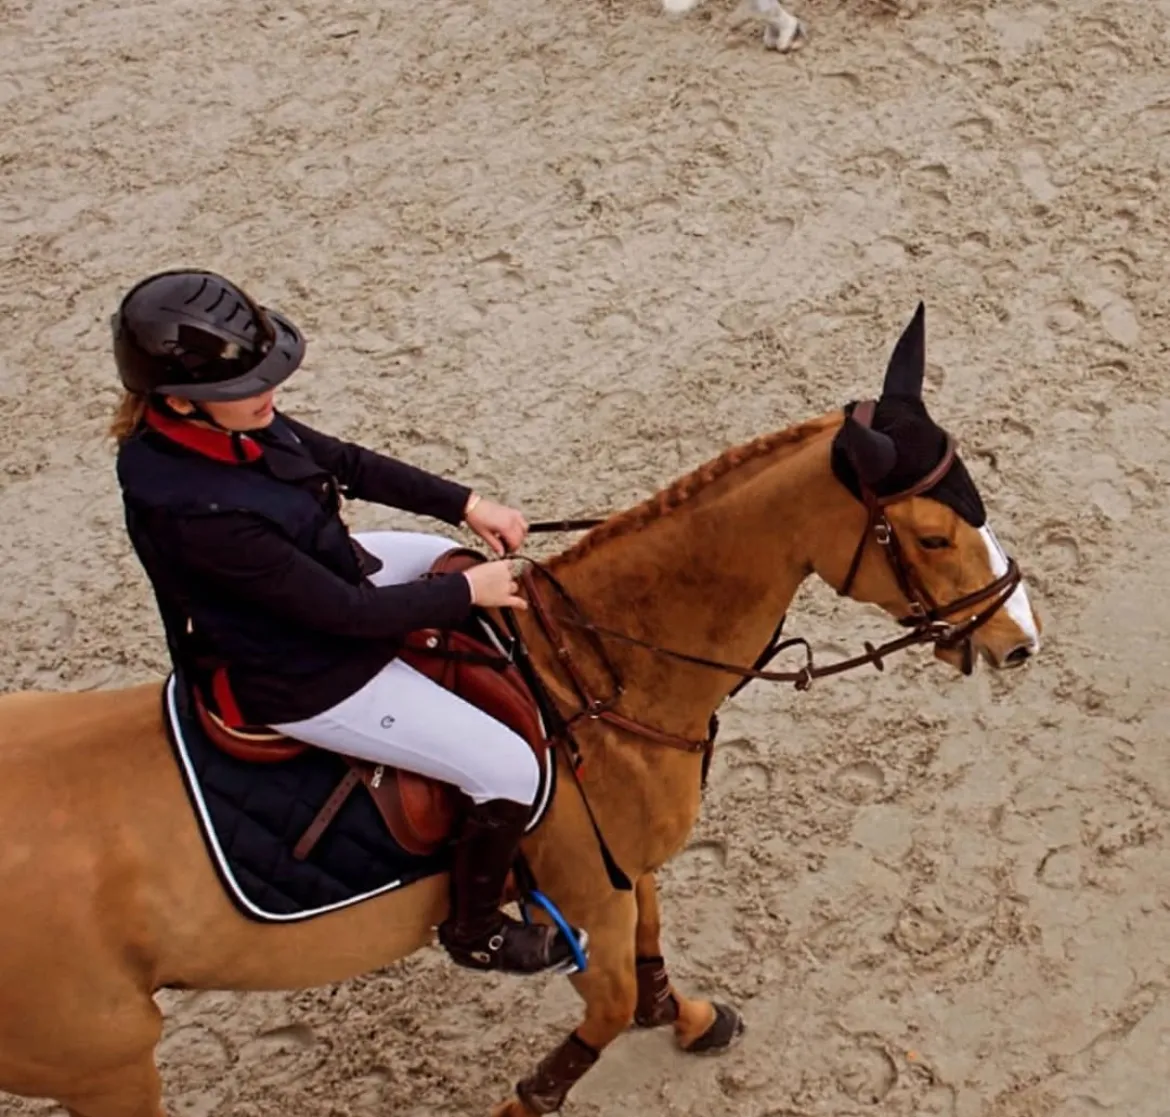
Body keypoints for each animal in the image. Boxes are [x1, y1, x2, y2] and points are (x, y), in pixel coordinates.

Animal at [0, 303, 1041, 1117]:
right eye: (933, 534)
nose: (1018, 637)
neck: (598, 664)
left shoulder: (623, 868)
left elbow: (652, 958)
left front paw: (691, 1018)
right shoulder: (583, 891)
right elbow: (608, 1008)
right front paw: (533, 1092)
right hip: (105, 1061)